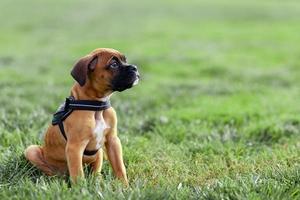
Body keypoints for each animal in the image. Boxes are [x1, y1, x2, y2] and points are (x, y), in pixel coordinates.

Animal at [24, 48, 139, 184]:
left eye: (125, 60)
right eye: (114, 64)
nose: (135, 68)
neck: (97, 106)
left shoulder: (113, 141)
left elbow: (119, 167)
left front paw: (124, 186)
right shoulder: (75, 147)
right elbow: (78, 174)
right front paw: (81, 188)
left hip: (99, 152)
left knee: (96, 170)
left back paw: (97, 180)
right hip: (31, 150)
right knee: (52, 171)